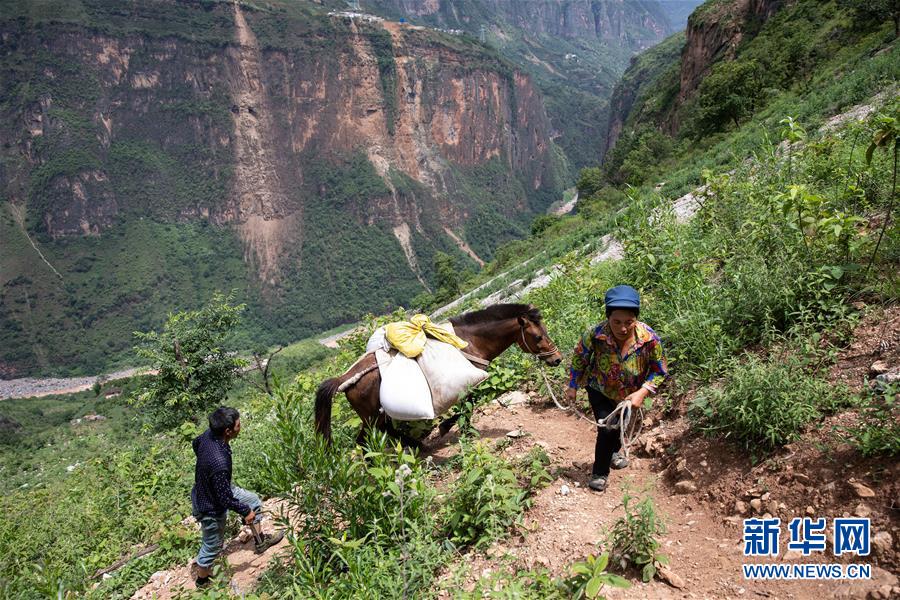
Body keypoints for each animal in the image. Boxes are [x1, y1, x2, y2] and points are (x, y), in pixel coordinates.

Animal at [314, 303, 563, 447]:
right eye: (538, 336)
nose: (557, 359)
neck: (469, 342)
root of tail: (344, 378)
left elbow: (469, 404)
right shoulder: (471, 380)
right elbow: (470, 402)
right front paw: (449, 427)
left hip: (374, 415)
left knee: (375, 434)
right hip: (371, 416)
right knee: (368, 438)